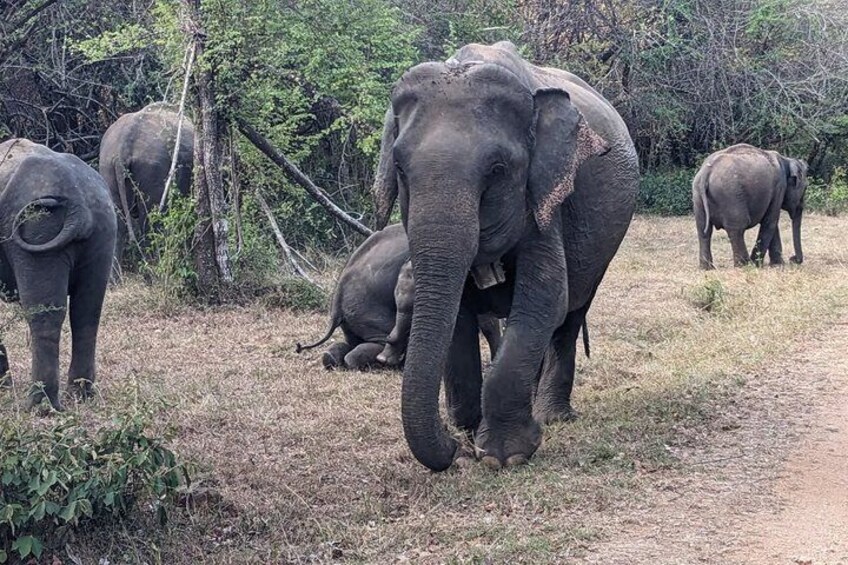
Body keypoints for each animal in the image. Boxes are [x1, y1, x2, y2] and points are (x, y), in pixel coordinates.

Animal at [0, 138, 117, 410]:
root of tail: (79, 207)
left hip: (38, 226)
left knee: (44, 315)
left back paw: (41, 406)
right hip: (104, 228)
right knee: (87, 312)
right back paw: (81, 394)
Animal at [98, 102, 194, 275]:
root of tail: (123, 147)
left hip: (107, 166)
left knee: (119, 222)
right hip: (151, 168)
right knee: (149, 221)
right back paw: (153, 272)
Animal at [372, 41, 639, 471]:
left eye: (497, 169)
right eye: (399, 167)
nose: (454, 450)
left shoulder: (545, 202)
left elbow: (546, 299)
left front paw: (503, 456)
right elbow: (457, 312)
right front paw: (468, 432)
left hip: (603, 248)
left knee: (571, 314)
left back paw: (553, 415)